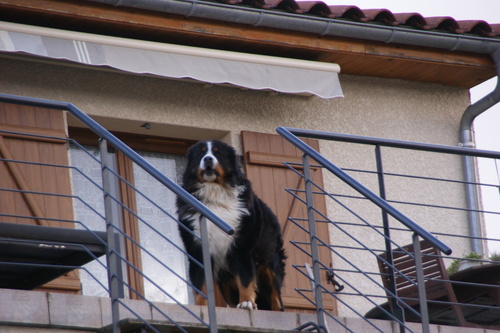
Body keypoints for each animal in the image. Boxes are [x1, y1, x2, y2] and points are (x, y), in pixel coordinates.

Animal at [176, 139, 286, 310]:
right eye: (201, 153)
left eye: (218, 153)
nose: (208, 159)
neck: (214, 193)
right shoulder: (196, 250)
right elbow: (200, 285)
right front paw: (201, 306)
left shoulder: (242, 247)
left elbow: (245, 279)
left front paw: (247, 302)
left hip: (270, 263)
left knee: (276, 298)